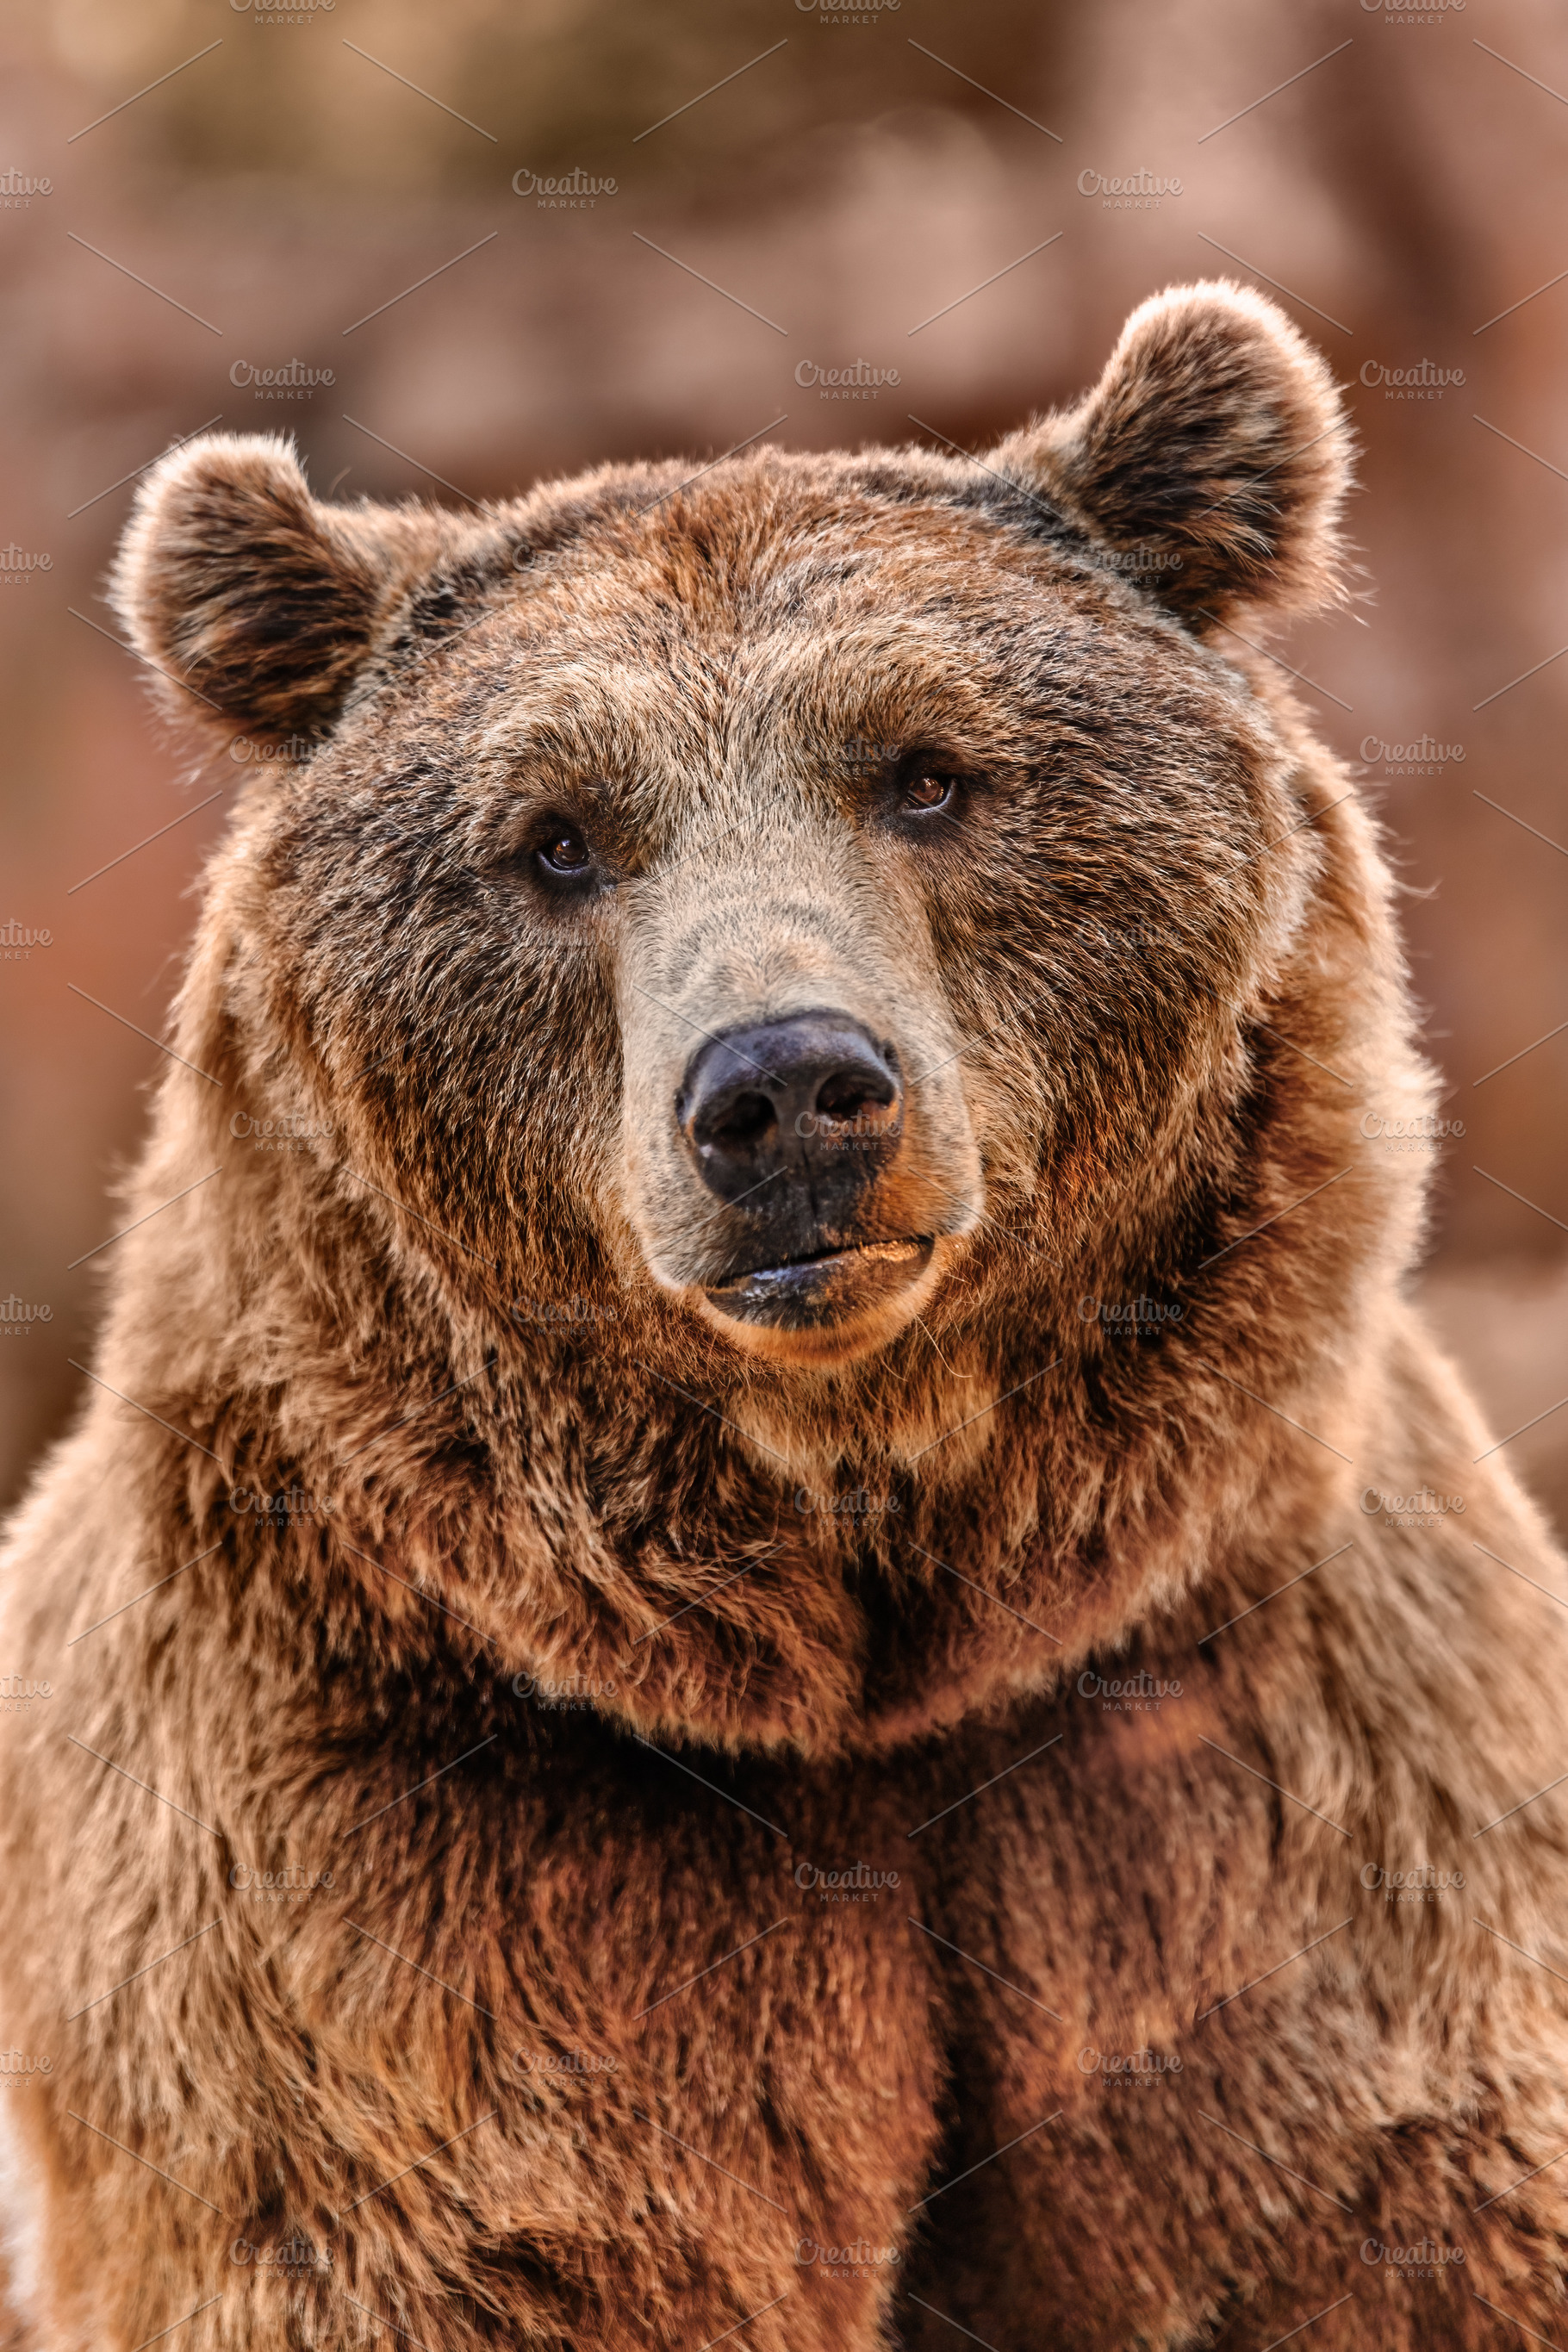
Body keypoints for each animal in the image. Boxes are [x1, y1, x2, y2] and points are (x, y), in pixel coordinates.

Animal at [1, 277, 1566, 2352]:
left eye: (929, 771)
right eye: (555, 836)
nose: (789, 1091)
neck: (875, 1635)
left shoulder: (1261, 1755)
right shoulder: (396, 1855)